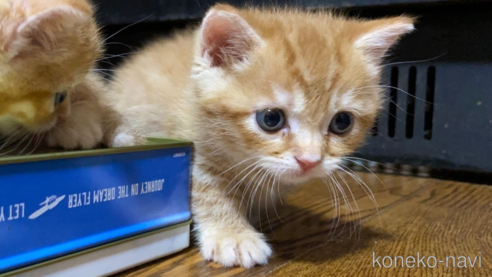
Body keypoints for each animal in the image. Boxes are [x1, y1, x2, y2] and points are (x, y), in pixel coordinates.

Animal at [105, 4, 414, 268]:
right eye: (271, 119)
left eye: (342, 122)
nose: (310, 161)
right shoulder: (189, 145)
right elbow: (207, 190)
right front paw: (233, 234)